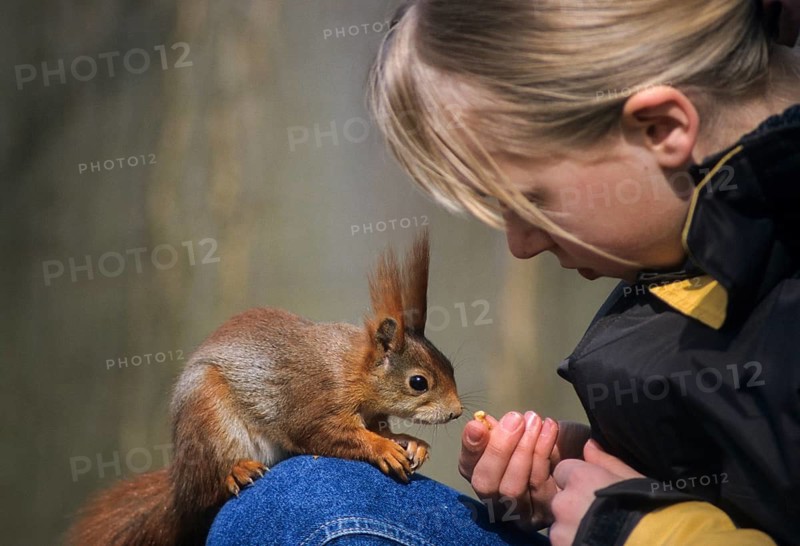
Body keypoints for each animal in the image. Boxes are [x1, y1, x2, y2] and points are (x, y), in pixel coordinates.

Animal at [66, 228, 464, 546]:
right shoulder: (315, 401)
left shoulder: (372, 413)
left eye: (450, 365)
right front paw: (383, 448)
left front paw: (411, 443)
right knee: (207, 487)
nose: (457, 412)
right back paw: (236, 472)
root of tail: (179, 481)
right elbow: (325, 433)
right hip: (208, 421)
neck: (355, 371)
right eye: (418, 382)